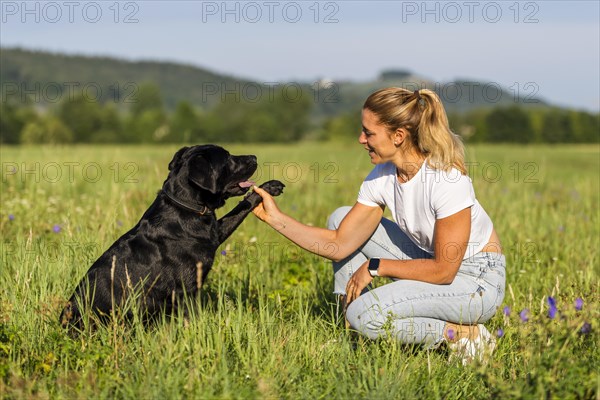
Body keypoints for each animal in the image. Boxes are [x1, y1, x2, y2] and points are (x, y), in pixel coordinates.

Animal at [59, 145, 284, 332]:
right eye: (228, 158)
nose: (254, 156)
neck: (186, 205)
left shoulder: (214, 233)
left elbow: (240, 207)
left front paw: (268, 187)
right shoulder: (186, 290)